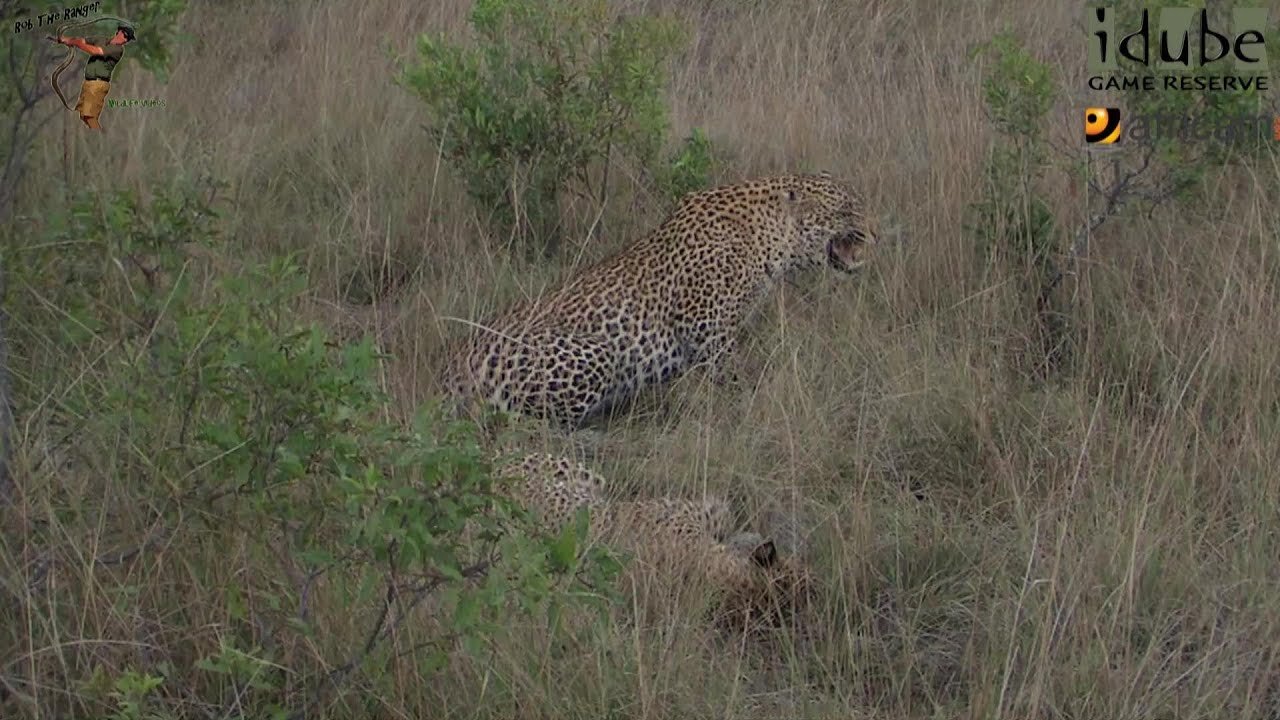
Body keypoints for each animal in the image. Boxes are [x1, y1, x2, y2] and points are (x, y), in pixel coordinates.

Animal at [442, 169, 880, 425]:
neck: (768, 239)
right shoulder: (708, 332)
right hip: (596, 355)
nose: (877, 232)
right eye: (848, 209)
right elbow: (736, 380)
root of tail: (450, 371)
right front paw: (750, 407)